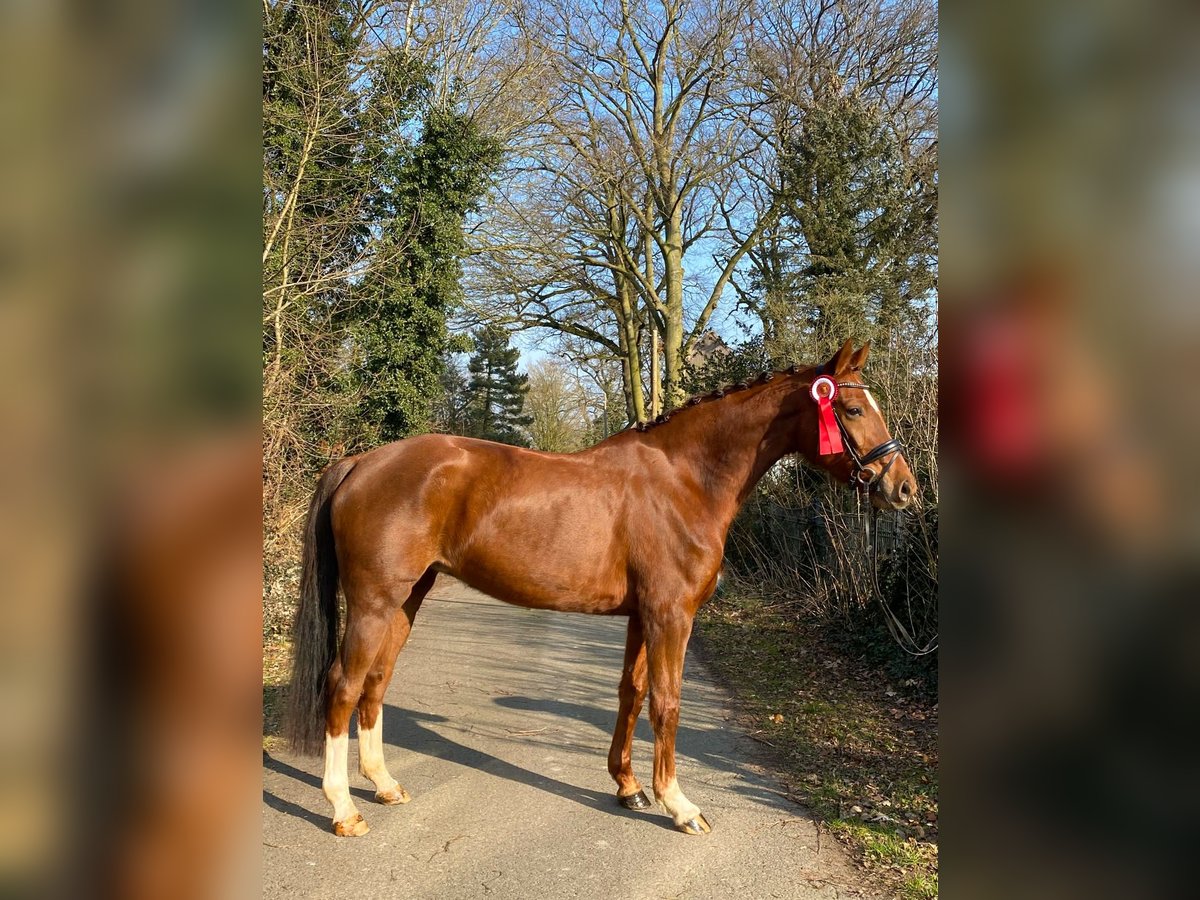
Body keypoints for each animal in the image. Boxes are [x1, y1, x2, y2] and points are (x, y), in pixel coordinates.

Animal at [283, 338, 916, 840]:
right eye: (851, 408)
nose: (904, 487)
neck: (684, 480)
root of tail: (361, 461)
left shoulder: (643, 615)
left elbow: (630, 694)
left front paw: (628, 786)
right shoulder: (671, 615)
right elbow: (667, 702)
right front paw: (678, 805)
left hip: (406, 600)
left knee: (375, 682)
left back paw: (384, 784)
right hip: (374, 602)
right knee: (342, 686)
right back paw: (343, 809)